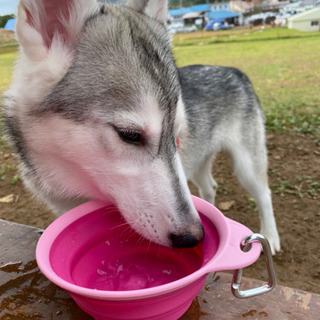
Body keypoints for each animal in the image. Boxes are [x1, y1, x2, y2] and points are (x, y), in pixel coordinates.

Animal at [1, 0, 278, 254]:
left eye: (175, 136)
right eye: (130, 135)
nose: (193, 237)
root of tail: (234, 70)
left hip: (246, 165)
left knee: (264, 193)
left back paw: (271, 236)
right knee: (209, 187)